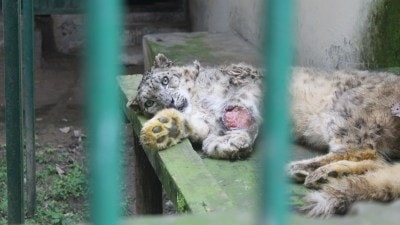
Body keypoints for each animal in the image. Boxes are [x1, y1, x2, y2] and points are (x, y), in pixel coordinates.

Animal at [130, 53, 400, 217]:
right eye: (150, 102)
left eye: (166, 80)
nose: (170, 102)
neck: (200, 102)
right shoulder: (205, 120)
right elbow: (197, 127)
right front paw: (166, 127)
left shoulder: (249, 87)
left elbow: (243, 108)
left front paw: (233, 140)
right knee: (378, 160)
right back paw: (325, 174)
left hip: (349, 112)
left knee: (362, 150)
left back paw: (306, 169)